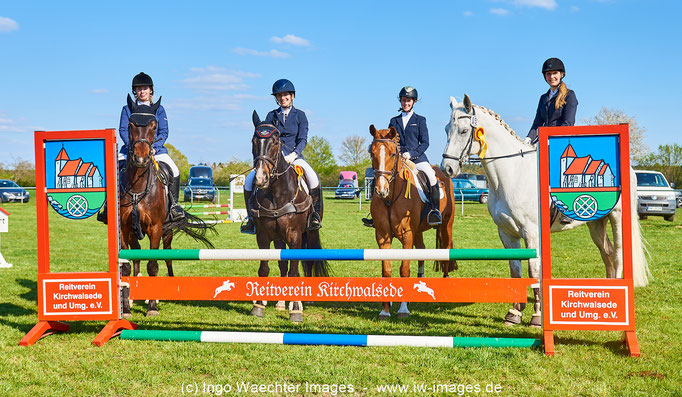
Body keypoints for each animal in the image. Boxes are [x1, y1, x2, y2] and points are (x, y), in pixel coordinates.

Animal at [118, 94, 211, 318]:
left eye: (154, 126)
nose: (141, 158)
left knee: (167, 255)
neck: (138, 187)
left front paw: (152, 307)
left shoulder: (156, 228)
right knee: (136, 257)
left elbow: (153, 264)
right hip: (134, 232)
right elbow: (126, 267)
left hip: (166, 232)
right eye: (131, 124)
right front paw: (126, 308)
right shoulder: (124, 228)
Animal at [247, 110, 330, 322]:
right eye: (253, 140)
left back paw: (305, 300)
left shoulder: (294, 235)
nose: (260, 178)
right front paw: (258, 306)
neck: (277, 192)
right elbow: (266, 268)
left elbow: (295, 270)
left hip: (310, 233)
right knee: (282, 264)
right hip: (278, 238)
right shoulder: (263, 236)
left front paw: (296, 310)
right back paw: (281, 303)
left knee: (307, 263)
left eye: (276, 141)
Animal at [366, 125, 456, 320]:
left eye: (393, 154)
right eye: (372, 153)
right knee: (421, 251)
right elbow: (386, 271)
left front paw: (403, 310)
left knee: (445, 251)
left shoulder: (407, 235)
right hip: (418, 231)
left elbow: (404, 270)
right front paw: (385, 310)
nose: (381, 190)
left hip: (446, 226)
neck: (390, 198)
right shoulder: (382, 236)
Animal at [440, 94, 648, 326]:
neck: (511, 174)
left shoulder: (531, 232)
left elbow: (534, 270)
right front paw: (514, 313)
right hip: (596, 223)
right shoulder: (507, 233)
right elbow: (515, 270)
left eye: (463, 131)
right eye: (447, 128)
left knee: (619, 254)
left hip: (617, 217)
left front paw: (537, 316)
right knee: (607, 253)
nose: (447, 168)